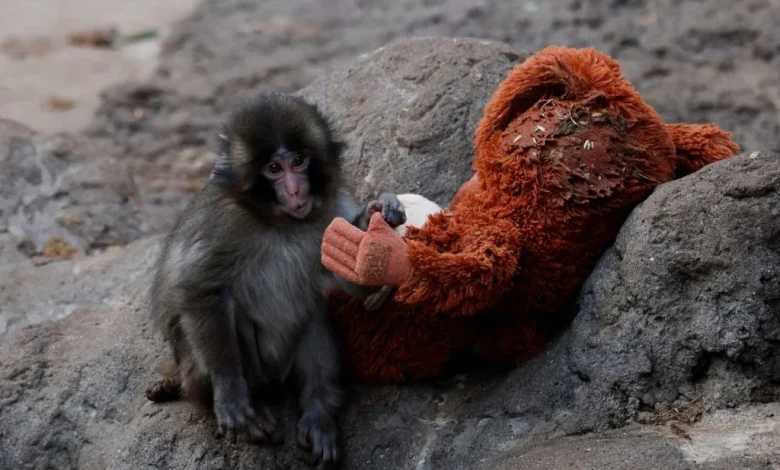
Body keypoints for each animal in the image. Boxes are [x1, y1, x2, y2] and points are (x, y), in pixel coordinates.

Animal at [145, 90, 406, 468]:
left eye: (298, 161)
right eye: (273, 169)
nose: (296, 191)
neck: (281, 223)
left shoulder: (332, 211)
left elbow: (353, 282)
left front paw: (379, 209)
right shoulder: (224, 224)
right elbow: (199, 289)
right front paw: (229, 390)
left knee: (313, 312)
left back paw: (318, 410)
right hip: (202, 371)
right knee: (229, 307)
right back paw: (252, 402)